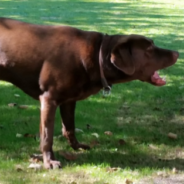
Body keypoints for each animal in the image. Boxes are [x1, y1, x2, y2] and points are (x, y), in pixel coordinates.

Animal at [0, 18, 179, 169]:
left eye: (153, 44)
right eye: (149, 49)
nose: (177, 53)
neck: (98, 55)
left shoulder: (68, 101)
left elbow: (69, 128)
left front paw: (77, 147)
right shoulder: (48, 99)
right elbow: (47, 136)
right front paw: (49, 161)